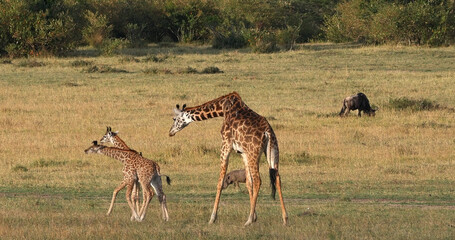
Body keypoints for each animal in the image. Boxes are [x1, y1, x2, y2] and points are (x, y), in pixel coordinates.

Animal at [167, 91, 288, 226]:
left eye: (174, 119)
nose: (170, 132)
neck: (223, 108)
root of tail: (268, 133)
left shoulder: (226, 144)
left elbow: (220, 182)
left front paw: (212, 218)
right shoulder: (243, 152)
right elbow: (248, 182)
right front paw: (255, 216)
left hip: (254, 153)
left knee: (258, 180)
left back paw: (248, 221)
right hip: (273, 152)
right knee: (277, 179)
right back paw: (285, 218)